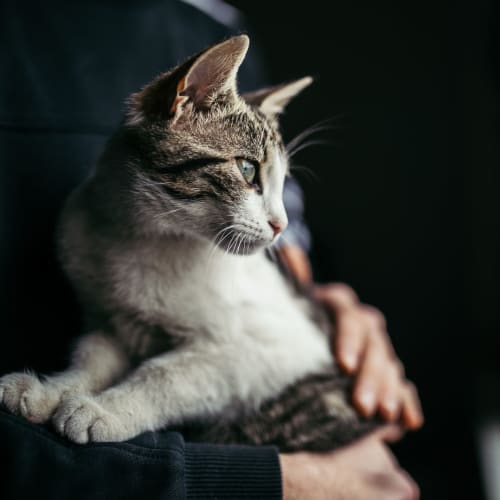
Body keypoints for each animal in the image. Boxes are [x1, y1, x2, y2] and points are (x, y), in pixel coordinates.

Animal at [0, 34, 376, 450]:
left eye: (283, 183)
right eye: (248, 169)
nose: (282, 224)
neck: (144, 240)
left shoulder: (272, 350)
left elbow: (168, 375)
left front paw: (105, 410)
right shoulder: (111, 321)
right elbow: (91, 357)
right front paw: (49, 390)